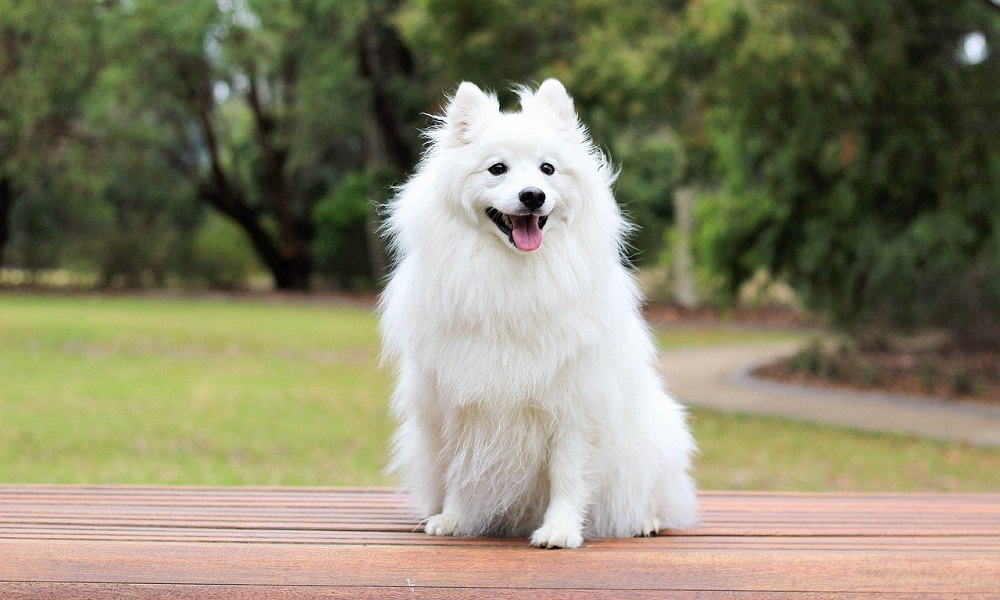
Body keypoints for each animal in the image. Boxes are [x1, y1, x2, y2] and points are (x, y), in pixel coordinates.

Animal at [378, 78, 700, 548]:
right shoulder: (459, 405)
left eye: (547, 169)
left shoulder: (574, 406)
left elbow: (567, 476)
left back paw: (647, 520)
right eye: (497, 169)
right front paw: (454, 519)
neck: (516, 276)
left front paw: (560, 530)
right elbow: (462, 470)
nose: (533, 195)